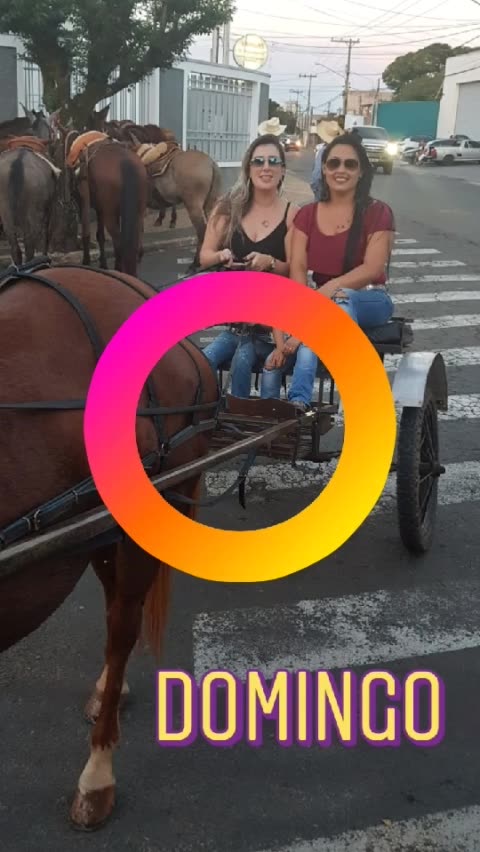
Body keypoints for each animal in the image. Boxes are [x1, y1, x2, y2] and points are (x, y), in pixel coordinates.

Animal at [63, 131, 149, 275]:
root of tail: (125, 162)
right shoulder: (101, 209)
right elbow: (100, 236)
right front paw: (103, 264)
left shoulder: (84, 201)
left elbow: (87, 233)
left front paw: (86, 262)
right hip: (136, 212)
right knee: (134, 240)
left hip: (110, 213)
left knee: (120, 242)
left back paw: (118, 269)